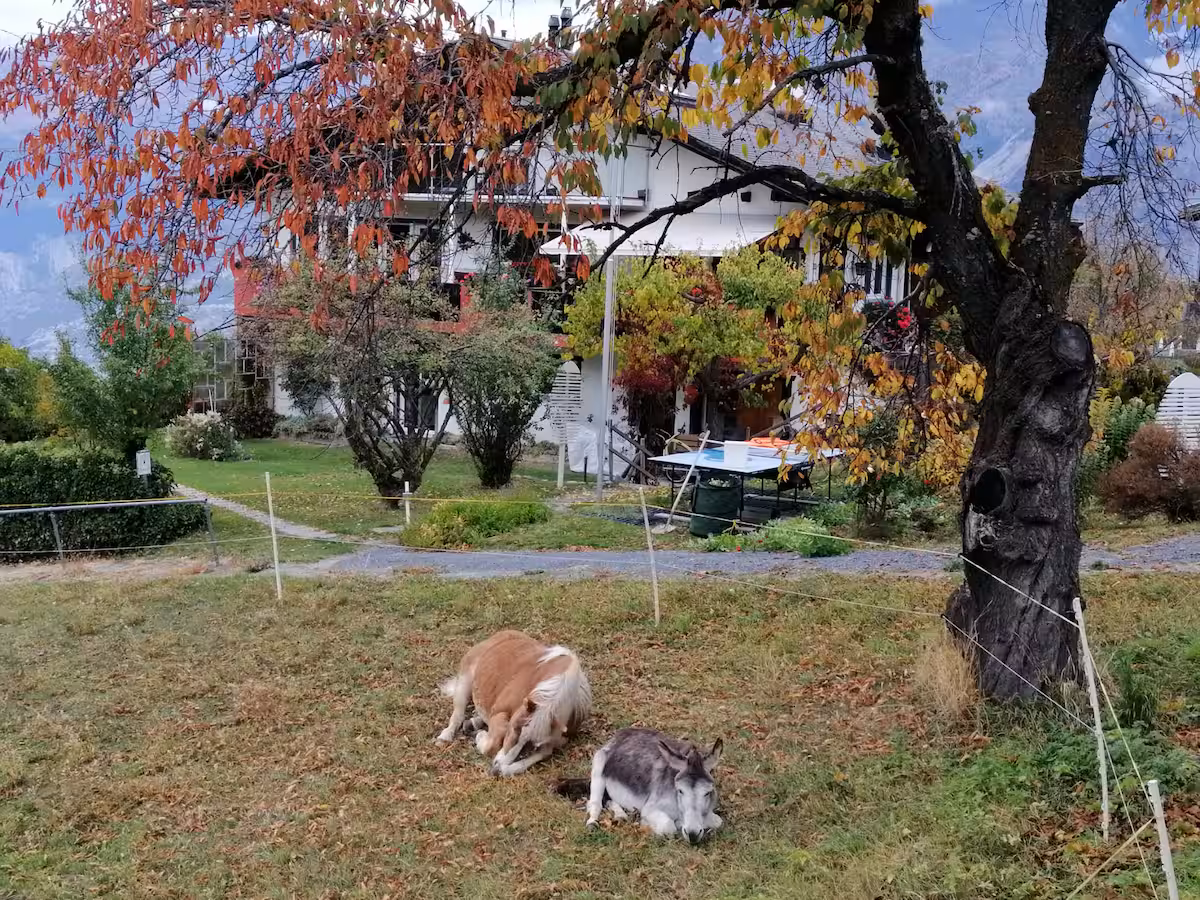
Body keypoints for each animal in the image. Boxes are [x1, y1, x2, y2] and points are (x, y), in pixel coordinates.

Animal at [435, 629, 591, 777]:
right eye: (514, 729)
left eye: (533, 745)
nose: (494, 768)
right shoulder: (500, 712)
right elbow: (492, 745)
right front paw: (481, 738)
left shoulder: (554, 740)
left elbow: (541, 753)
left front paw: (503, 768)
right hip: (465, 680)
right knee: (458, 713)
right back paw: (445, 737)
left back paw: (473, 723)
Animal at [555, 727, 724, 844]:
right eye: (680, 790)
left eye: (707, 792)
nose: (693, 835)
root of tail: (620, 734)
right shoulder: (650, 809)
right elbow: (668, 826)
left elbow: (718, 821)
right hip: (599, 763)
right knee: (595, 803)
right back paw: (593, 823)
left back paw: (621, 815)